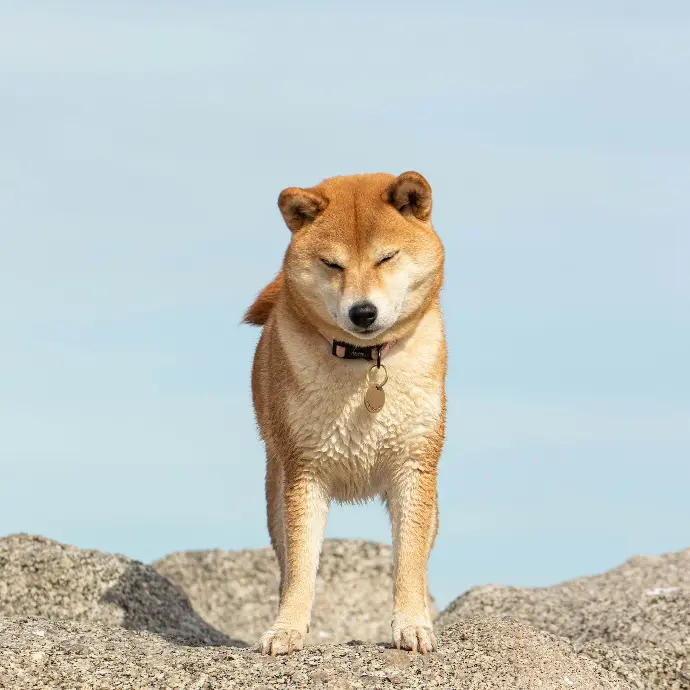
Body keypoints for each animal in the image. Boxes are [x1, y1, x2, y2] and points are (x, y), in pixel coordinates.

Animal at [242, 169, 446, 652]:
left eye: (386, 257)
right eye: (332, 264)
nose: (363, 311)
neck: (364, 363)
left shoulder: (413, 466)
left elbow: (409, 560)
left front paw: (412, 624)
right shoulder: (304, 471)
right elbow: (300, 565)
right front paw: (287, 629)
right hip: (275, 487)